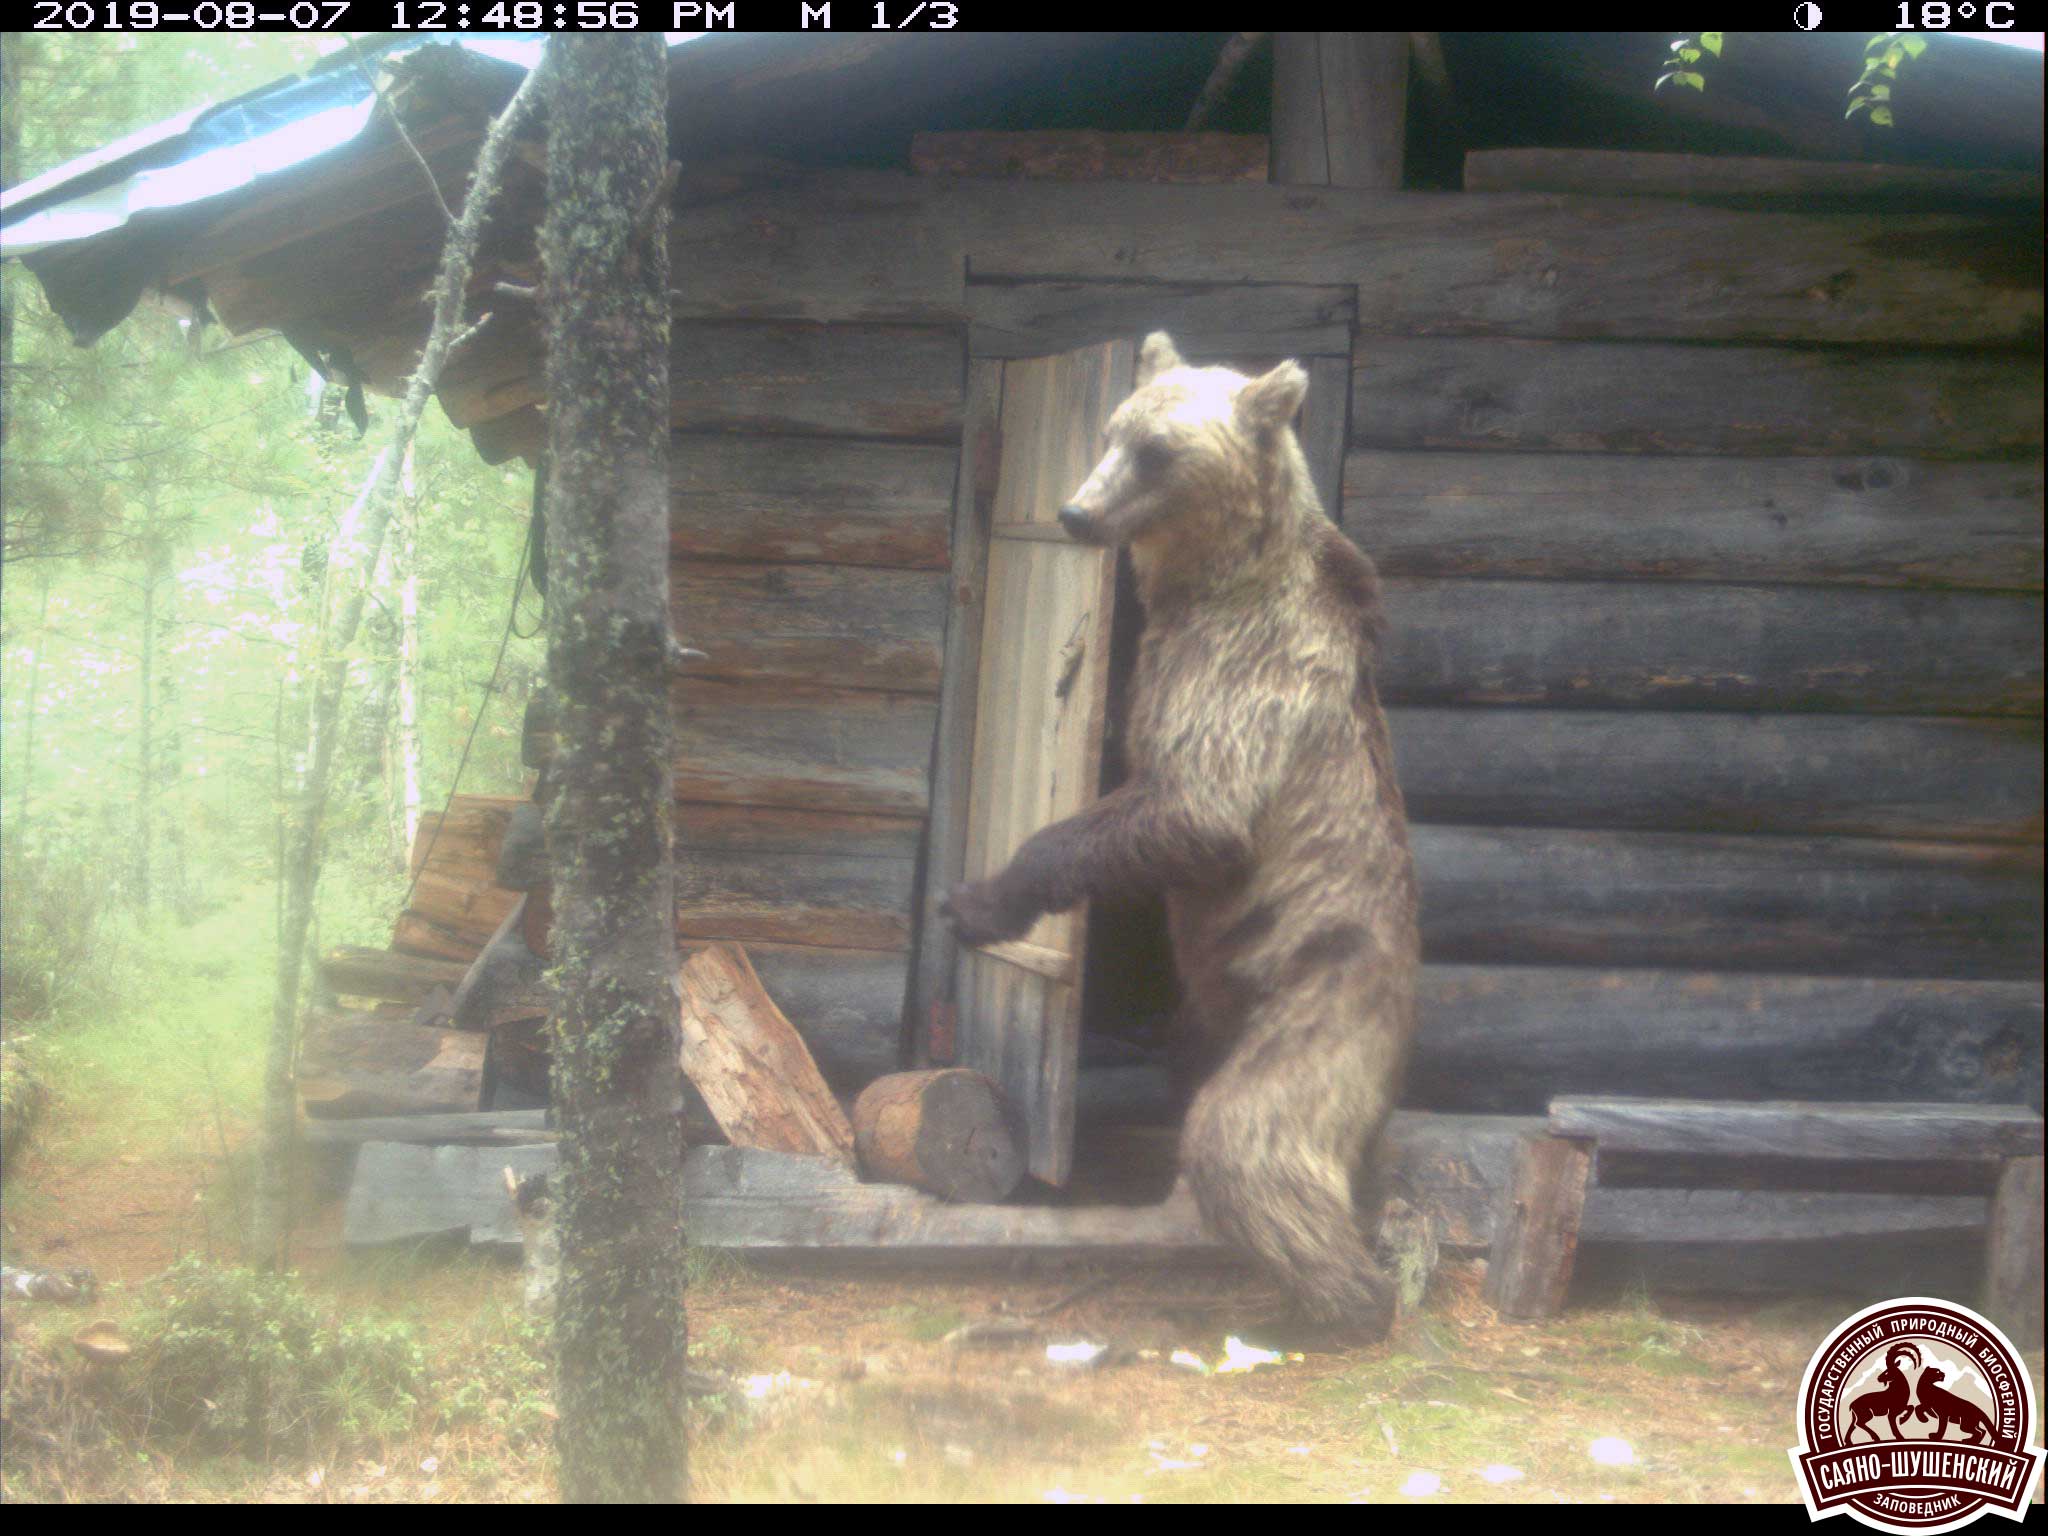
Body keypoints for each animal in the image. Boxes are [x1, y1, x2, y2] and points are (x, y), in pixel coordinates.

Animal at [946, 333, 1417, 1335]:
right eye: (1113, 432)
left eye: (1158, 452)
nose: (1077, 511)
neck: (1211, 581)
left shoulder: (1245, 678)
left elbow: (1192, 808)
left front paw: (979, 900)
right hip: (1208, 1002)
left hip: (1321, 994)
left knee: (1251, 1137)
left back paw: (1346, 1300)